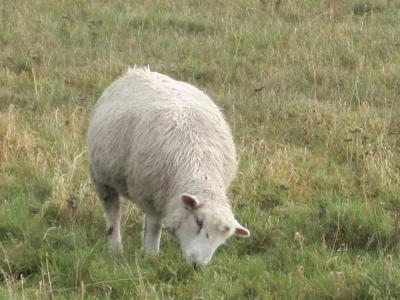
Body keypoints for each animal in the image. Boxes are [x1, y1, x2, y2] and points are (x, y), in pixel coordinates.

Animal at [87, 67, 250, 266]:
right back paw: (115, 249)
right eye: (199, 222)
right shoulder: (149, 195)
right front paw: (151, 255)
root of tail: (137, 70)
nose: (197, 265)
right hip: (101, 177)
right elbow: (154, 226)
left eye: (224, 239)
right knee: (113, 213)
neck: (197, 166)